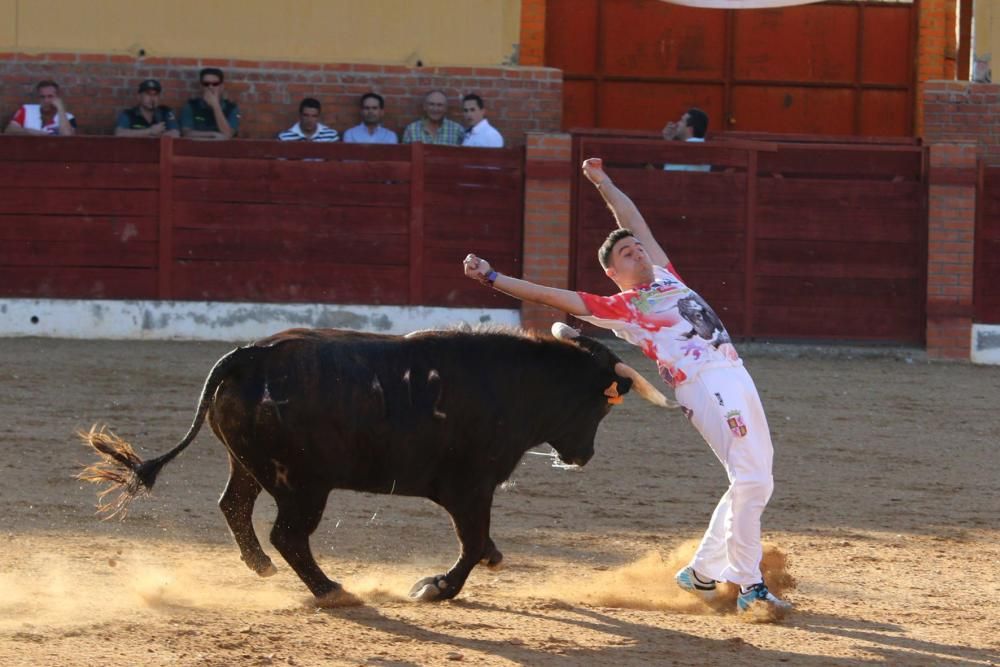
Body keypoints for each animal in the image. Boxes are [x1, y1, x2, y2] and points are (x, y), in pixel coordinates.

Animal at [80, 326, 672, 608]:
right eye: (600, 406)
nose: (582, 456)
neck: (517, 383)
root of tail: (251, 353)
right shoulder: (470, 487)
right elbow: (470, 542)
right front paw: (436, 587)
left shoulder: (469, 491)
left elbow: (480, 542)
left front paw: (489, 560)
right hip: (304, 486)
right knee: (288, 534)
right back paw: (332, 590)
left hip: (250, 465)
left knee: (235, 506)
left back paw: (263, 569)